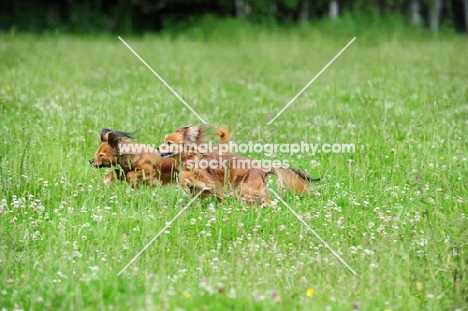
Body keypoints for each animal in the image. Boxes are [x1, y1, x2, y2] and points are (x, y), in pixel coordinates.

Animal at [157, 125, 318, 206]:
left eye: (169, 143)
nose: (158, 148)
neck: (191, 156)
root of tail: (262, 169)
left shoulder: (208, 178)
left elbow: (184, 175)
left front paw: (186, 182)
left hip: (245, 188)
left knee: (263, 200)